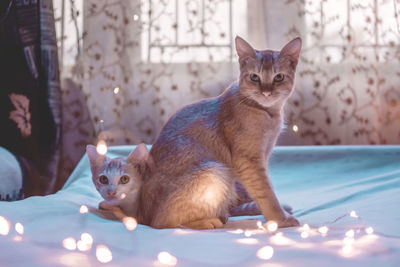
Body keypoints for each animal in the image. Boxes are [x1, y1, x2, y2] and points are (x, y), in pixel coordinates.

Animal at [139, 36, 302, 230]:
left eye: (279, 77)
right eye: (255, 77)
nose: (266, 92)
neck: (266, 112)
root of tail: (142, 215)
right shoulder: (249, 162)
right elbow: (266, 194)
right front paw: (280, 219)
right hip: (216, 170)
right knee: (163, 222)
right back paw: (209, 220)